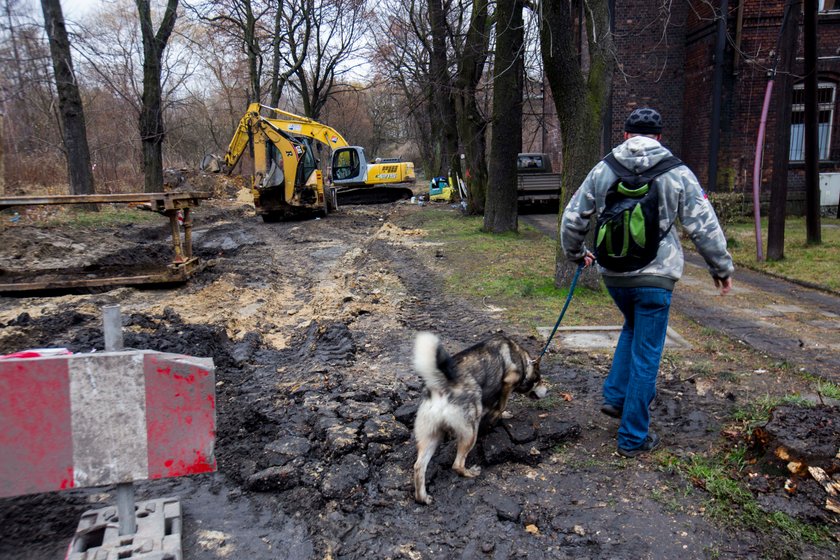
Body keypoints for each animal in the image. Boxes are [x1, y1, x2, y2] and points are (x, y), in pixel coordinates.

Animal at [412, 330, 544, 506]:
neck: (523, 359)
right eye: (540, 379)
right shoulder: (508, 383)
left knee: (419, 466)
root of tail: (440, 386)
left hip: (431, 437)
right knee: (457, 465)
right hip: (470, 433)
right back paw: (470, 473)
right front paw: (499, 415)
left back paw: (423, 497)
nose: (547, 390)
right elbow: (501, 405)